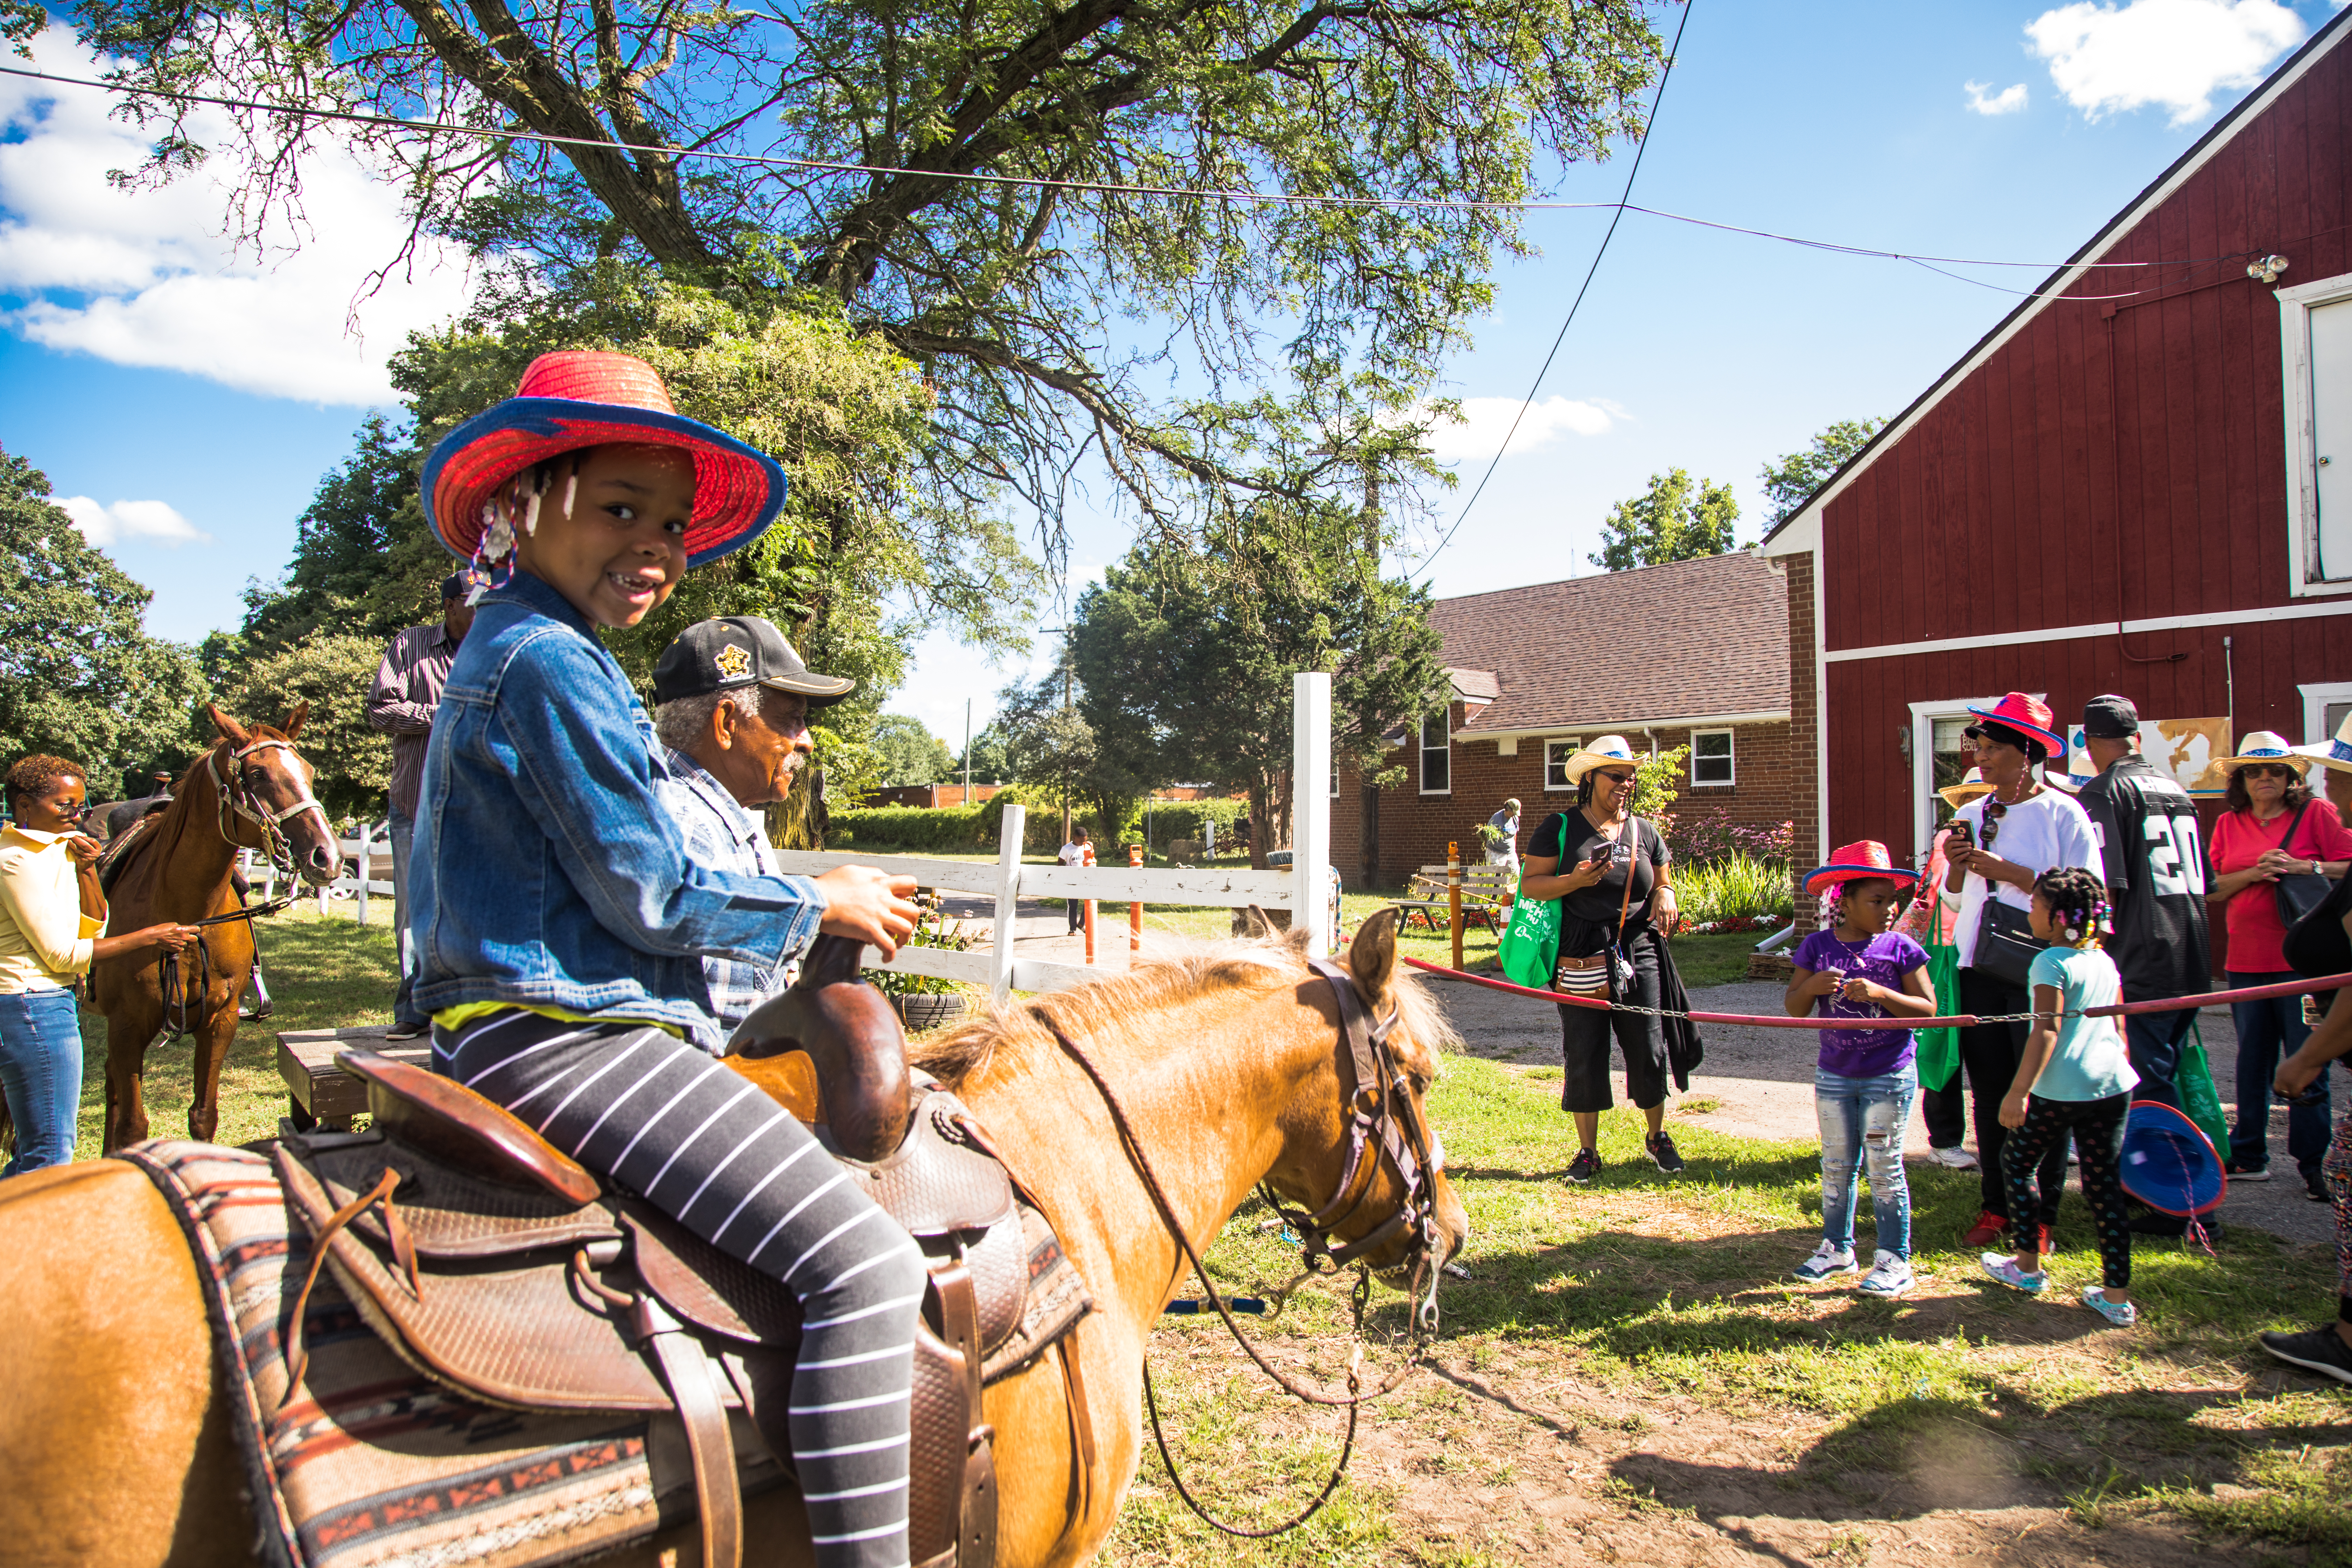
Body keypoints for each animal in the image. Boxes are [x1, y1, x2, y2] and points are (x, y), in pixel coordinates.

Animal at [89, 705, 341, 1147]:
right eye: (257, 774)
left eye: (309, 770)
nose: (327, 855)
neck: (188, 914)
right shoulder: (127, 1027)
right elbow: (135, 1126)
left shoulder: (220, 1022)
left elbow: (203, 1116)